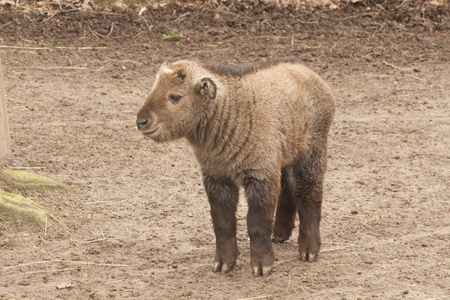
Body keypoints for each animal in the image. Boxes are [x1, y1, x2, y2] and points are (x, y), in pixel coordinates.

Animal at [135, 57, 336, 278]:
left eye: (175, 97)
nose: (141, 121)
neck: (231, 112)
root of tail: (305, 70)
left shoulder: (260, 174)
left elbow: (257, 223)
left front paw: (262, 265)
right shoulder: (217, 177)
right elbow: (222, 223)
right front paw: (223, 264)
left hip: (312, 151)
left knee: (310, 195)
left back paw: (309, 250)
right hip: (285, 154)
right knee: (287, 189)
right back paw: (280, 234)